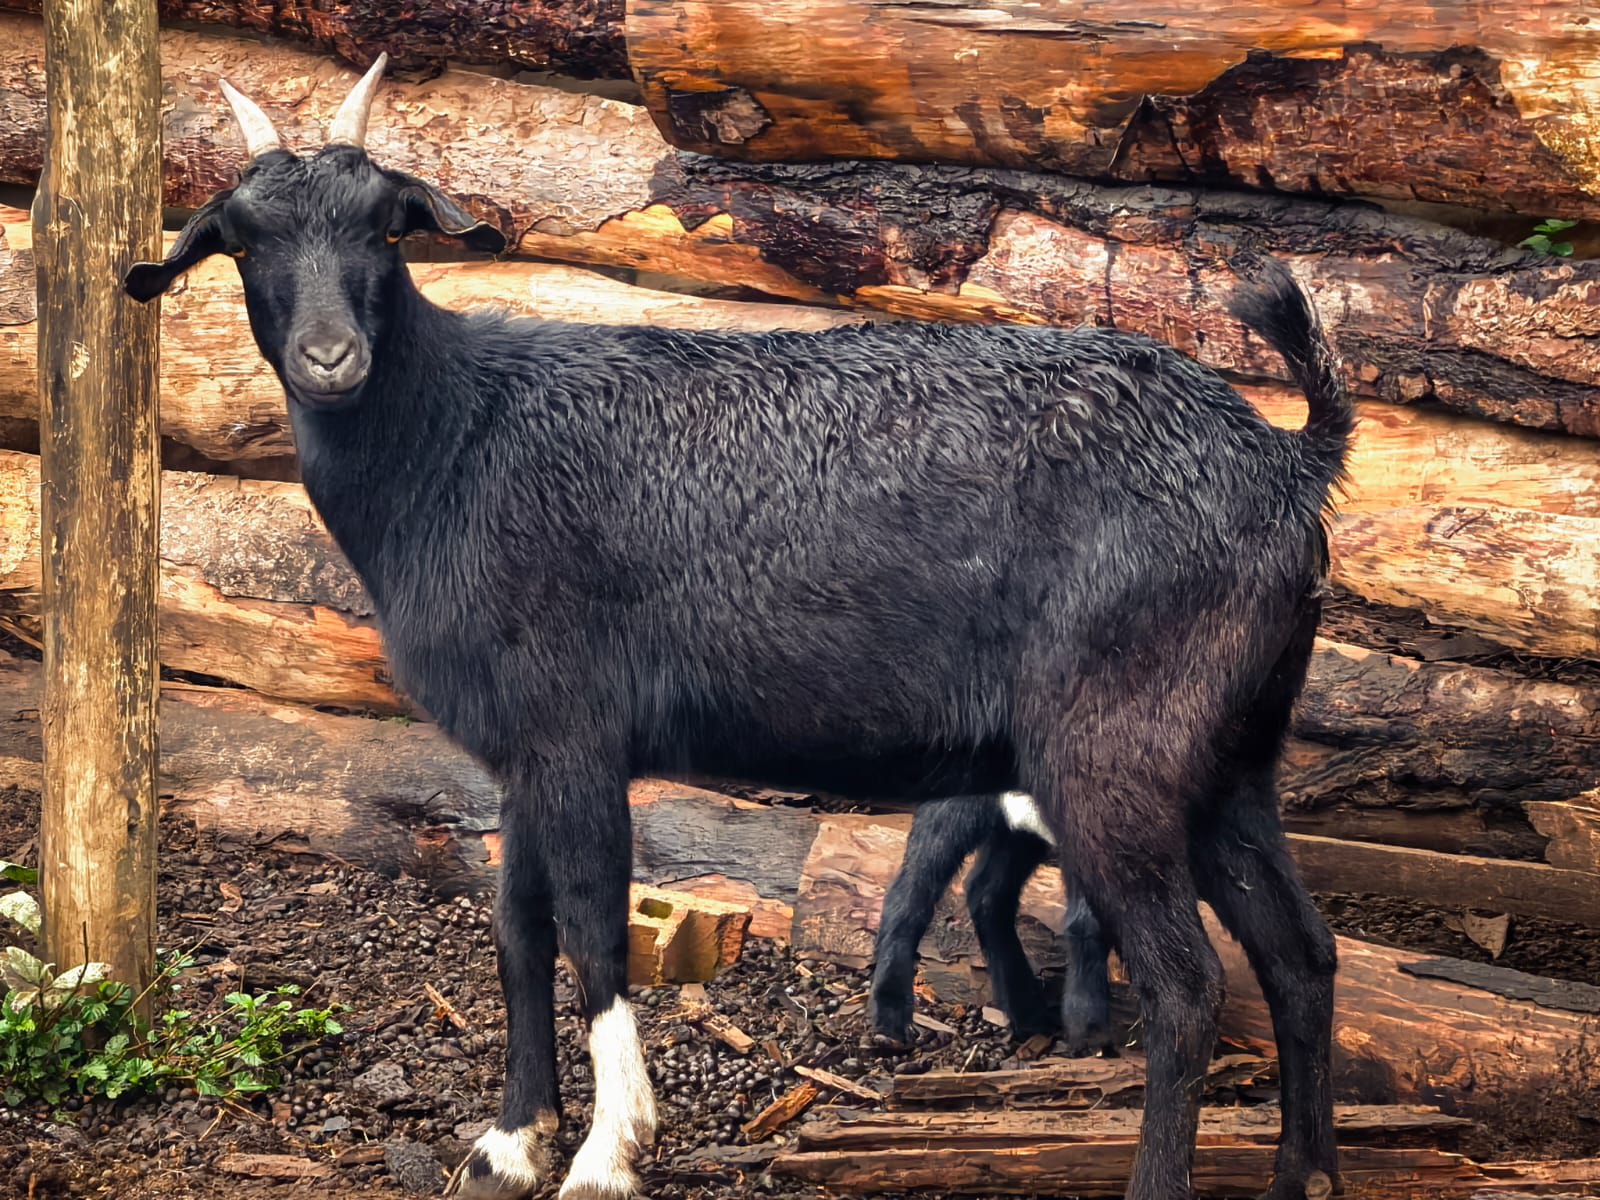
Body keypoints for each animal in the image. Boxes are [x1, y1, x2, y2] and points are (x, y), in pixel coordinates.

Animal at [125, 55, 1352, 1200]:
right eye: (242, 241)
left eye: (386, 226)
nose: (331, 359)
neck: (460, 440)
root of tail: (1291, 463)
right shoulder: (521, 751)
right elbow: (517, 929)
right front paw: (512, 1142)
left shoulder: (576, 731)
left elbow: (590, 927)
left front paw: (609, 1149)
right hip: (1231, 757)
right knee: (1300, 954)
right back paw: (1308, 1173)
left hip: (1113, 749)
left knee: (1189, 984)